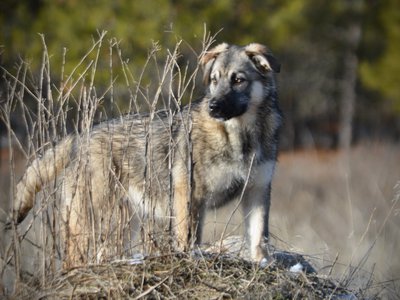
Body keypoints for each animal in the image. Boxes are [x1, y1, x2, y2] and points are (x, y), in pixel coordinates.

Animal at [11, 41, 282, 264]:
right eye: (215, 80)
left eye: (238, 80)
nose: (213, 106)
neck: (241, 138)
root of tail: (80, 137)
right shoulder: (189, 197)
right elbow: (188, 240)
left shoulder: (257, 190)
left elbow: (259, 238)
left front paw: (263, 264)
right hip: (93, 222)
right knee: (73, 260)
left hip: (119, 226)